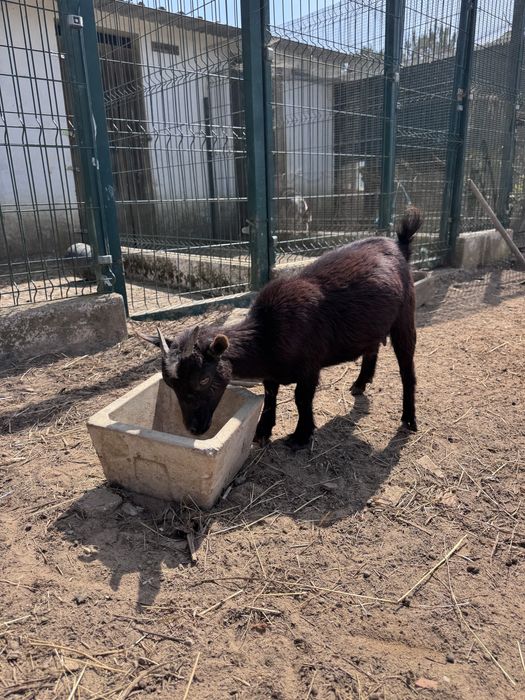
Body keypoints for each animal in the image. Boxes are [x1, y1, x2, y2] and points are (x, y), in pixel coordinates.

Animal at [139, 207, 422, 450]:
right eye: (171, 385)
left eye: (204, 379)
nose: (195, 429)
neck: (267, 334)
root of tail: (399, 245)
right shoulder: (271, 372)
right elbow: (270, 394)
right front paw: (262, 432)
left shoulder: (310, 366)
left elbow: (301, 398)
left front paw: (300, 436)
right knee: (372, 346)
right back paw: (360, 383)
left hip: (405, 314)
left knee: (407, 369)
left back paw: (409, 419)